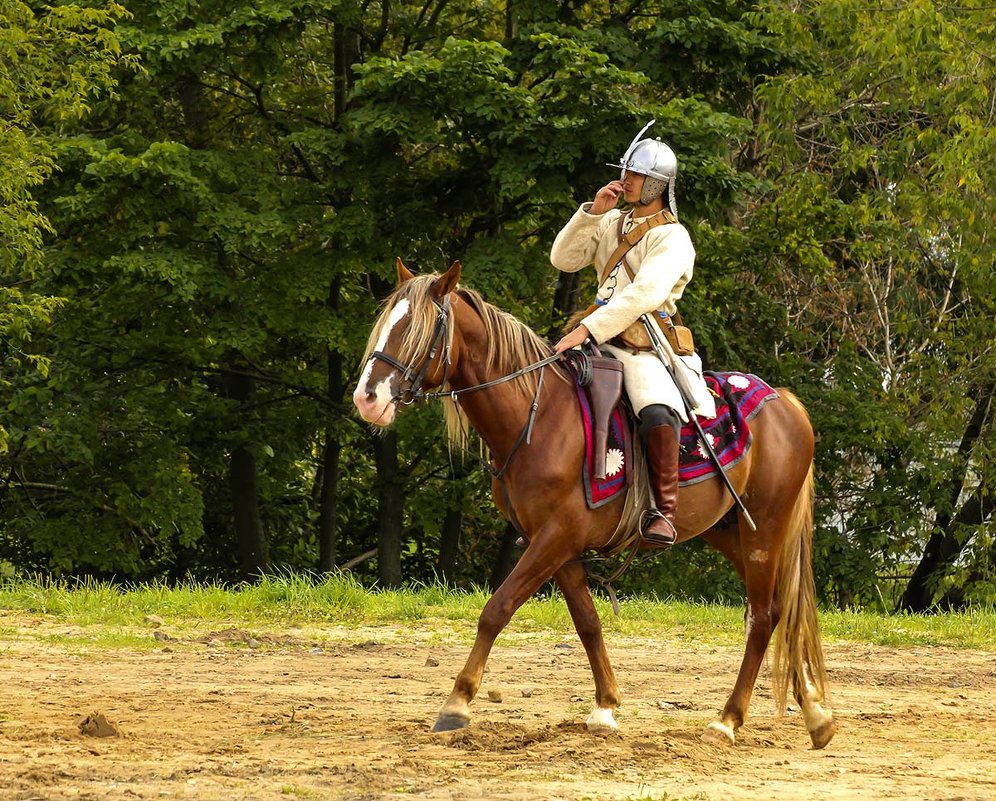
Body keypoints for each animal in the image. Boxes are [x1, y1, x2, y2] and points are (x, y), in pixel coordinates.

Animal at [350, 260, 832, 748]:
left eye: (418, 329)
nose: (367, 398)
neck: (538, 416)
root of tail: (786, 402)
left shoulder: (554, 539)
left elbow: (496, 610)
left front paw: (457, 702)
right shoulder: (558, 548)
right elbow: (587, 622)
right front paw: (605, 707)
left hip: (763, 531)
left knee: (763, 616)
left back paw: (729, 719)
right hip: (732, 532)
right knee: (783, 610)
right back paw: (815, 712)